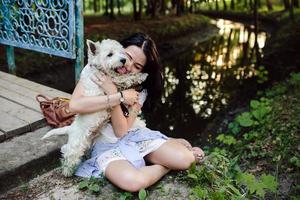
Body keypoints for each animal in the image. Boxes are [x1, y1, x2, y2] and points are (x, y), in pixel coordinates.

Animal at [42, 39, 148, 177]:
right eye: (109, 54)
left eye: (122, 52)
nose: (123, 60)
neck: (98, 69)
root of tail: (71, 128)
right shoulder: (110, 80)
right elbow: (122, 77)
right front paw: (140, 75)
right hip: (76, 144)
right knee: (68, 153)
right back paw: (67, 171)